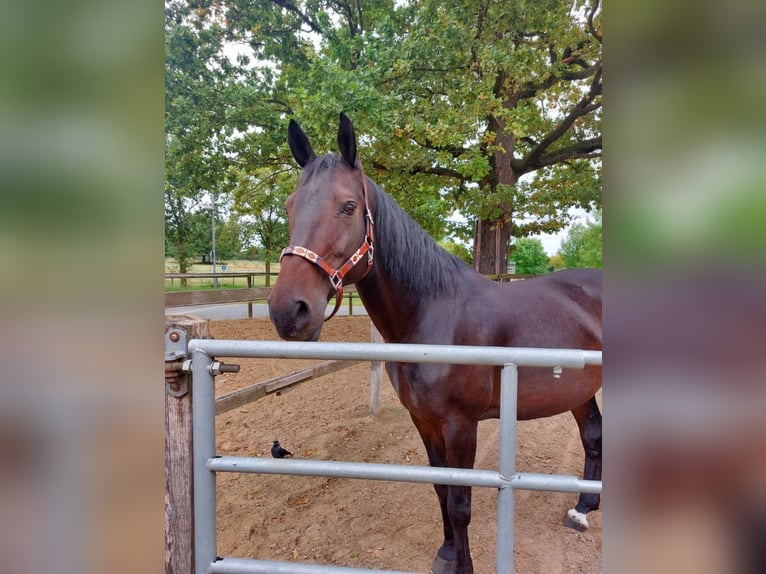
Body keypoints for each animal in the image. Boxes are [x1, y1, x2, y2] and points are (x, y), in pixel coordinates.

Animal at [268, 113, 602, 574]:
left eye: (348, 206)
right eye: (289, 206)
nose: (289, 311)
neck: (433, 316)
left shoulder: (461, 425)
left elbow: (461, 502)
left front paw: (464, 566)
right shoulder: (424, 421)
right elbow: (440, 489)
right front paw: (446, 554)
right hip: (580, 390)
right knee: (593, 435)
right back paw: (583, 509)